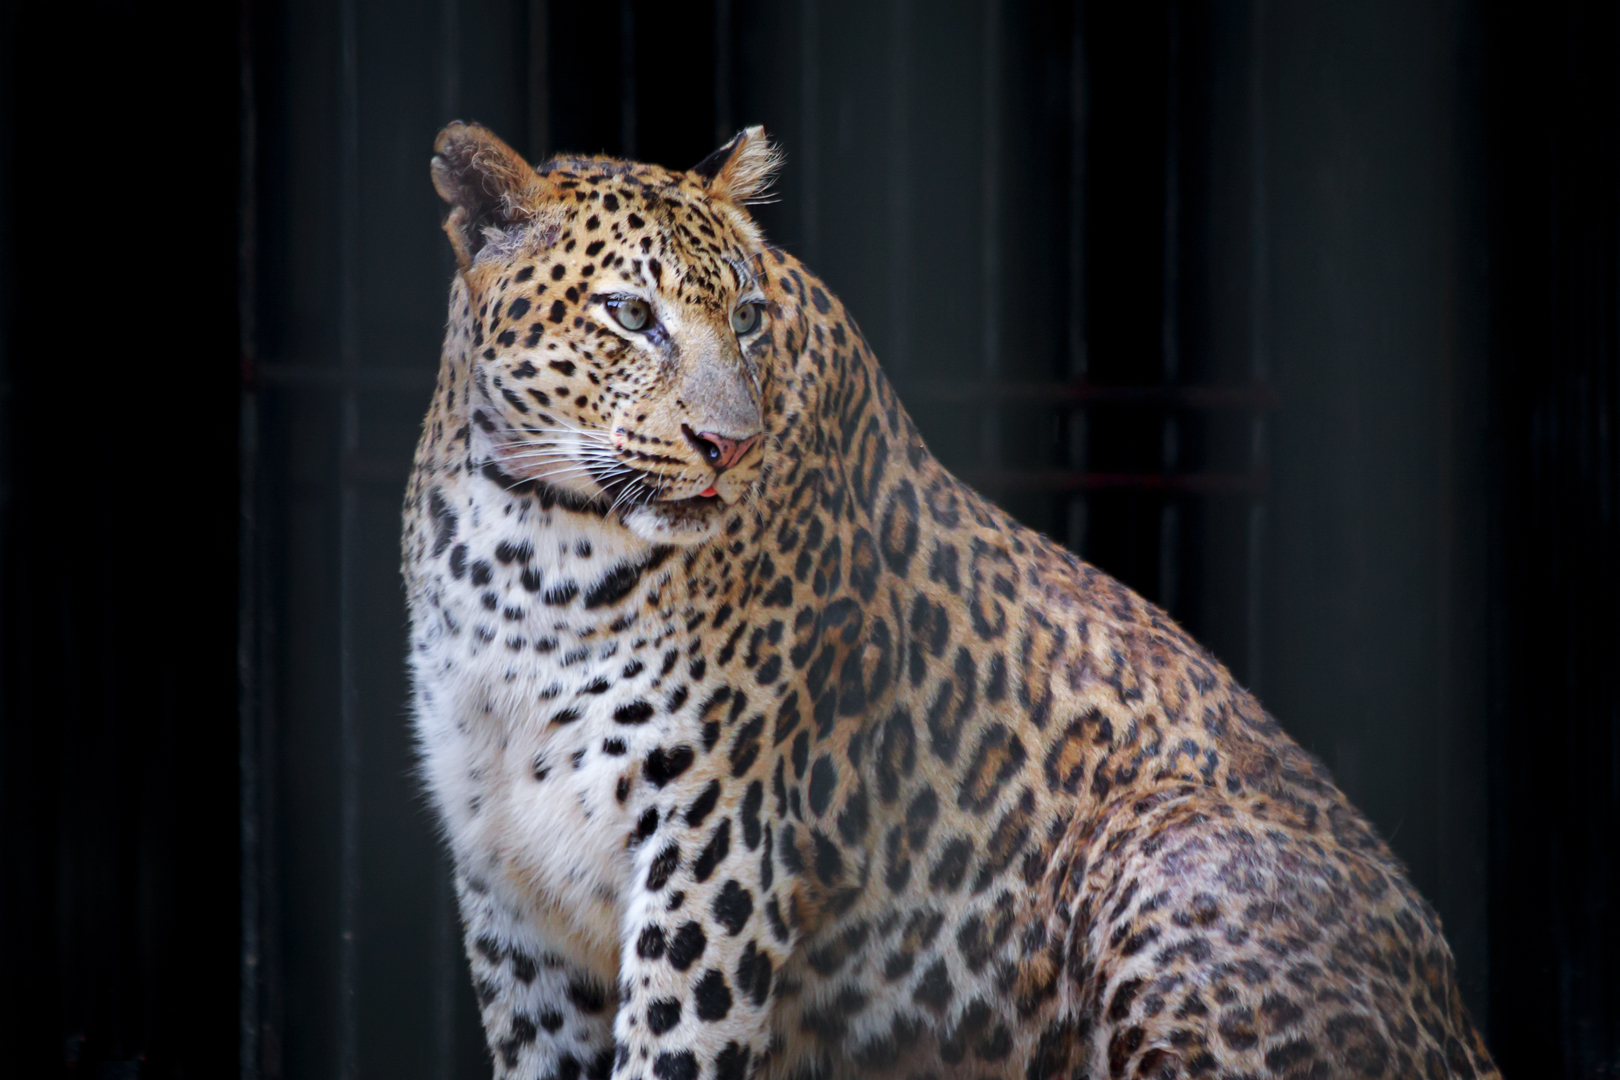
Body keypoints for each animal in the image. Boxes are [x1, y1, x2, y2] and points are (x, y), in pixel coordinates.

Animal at [402, 121, 1499, 1080]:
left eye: (746, 318)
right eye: (630, 314)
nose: (731, 448)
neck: (532, 551)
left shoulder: (717, 849)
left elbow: (674, 1049)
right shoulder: (506, 887)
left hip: (1170, 859)